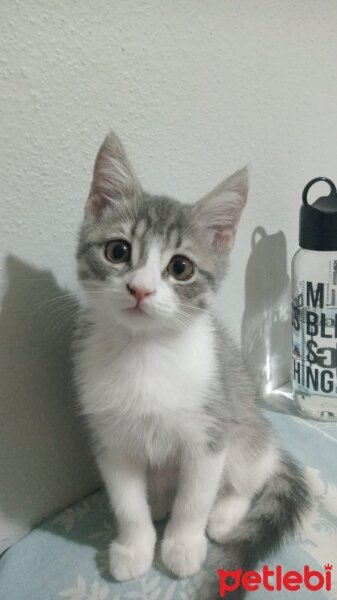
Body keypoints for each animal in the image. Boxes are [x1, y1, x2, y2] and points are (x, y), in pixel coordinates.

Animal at [74, 135, 310, 592]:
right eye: (117, 251)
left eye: (180, 267)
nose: (140, 290)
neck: (145, 352)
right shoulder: (109, 438)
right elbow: (126, 502)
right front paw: (135, 547)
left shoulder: (209, 433)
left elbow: (195, 498)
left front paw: (182, 546)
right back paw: (159, 501)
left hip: (246, 428)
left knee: (250, 476)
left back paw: (224, 514)